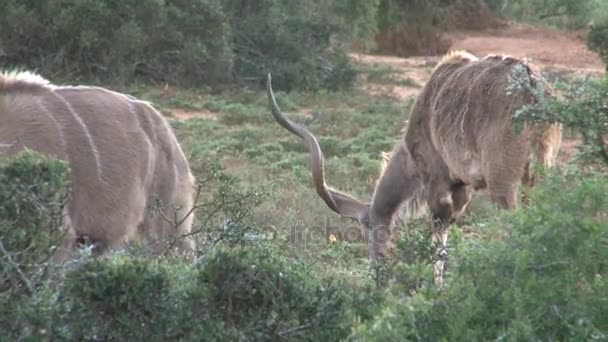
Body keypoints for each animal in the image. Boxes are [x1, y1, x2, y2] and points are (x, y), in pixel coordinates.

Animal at [268, 50, 564, 284]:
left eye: (367, 229)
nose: (379, 273)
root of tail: (534, 93)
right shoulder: (463, 188)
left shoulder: (439, 183)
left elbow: (438, 236)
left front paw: (436, 289)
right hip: (536, 176)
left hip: (502, 184)